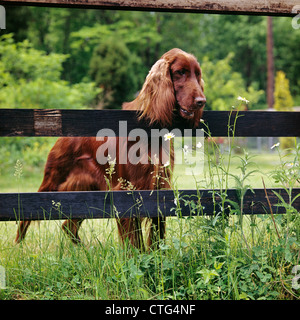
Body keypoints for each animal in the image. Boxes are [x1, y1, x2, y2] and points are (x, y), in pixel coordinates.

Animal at [14, 48, 206, 250]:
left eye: (197, 74)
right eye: (180, 72)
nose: (201, 101)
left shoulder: (159, 186)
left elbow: (156, 233)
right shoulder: (126, 189)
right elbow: (134, 240)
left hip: (85, 188)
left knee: (68, 225)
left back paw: (83, 250)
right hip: (53, 181)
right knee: (27, 214)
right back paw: (18, 245)